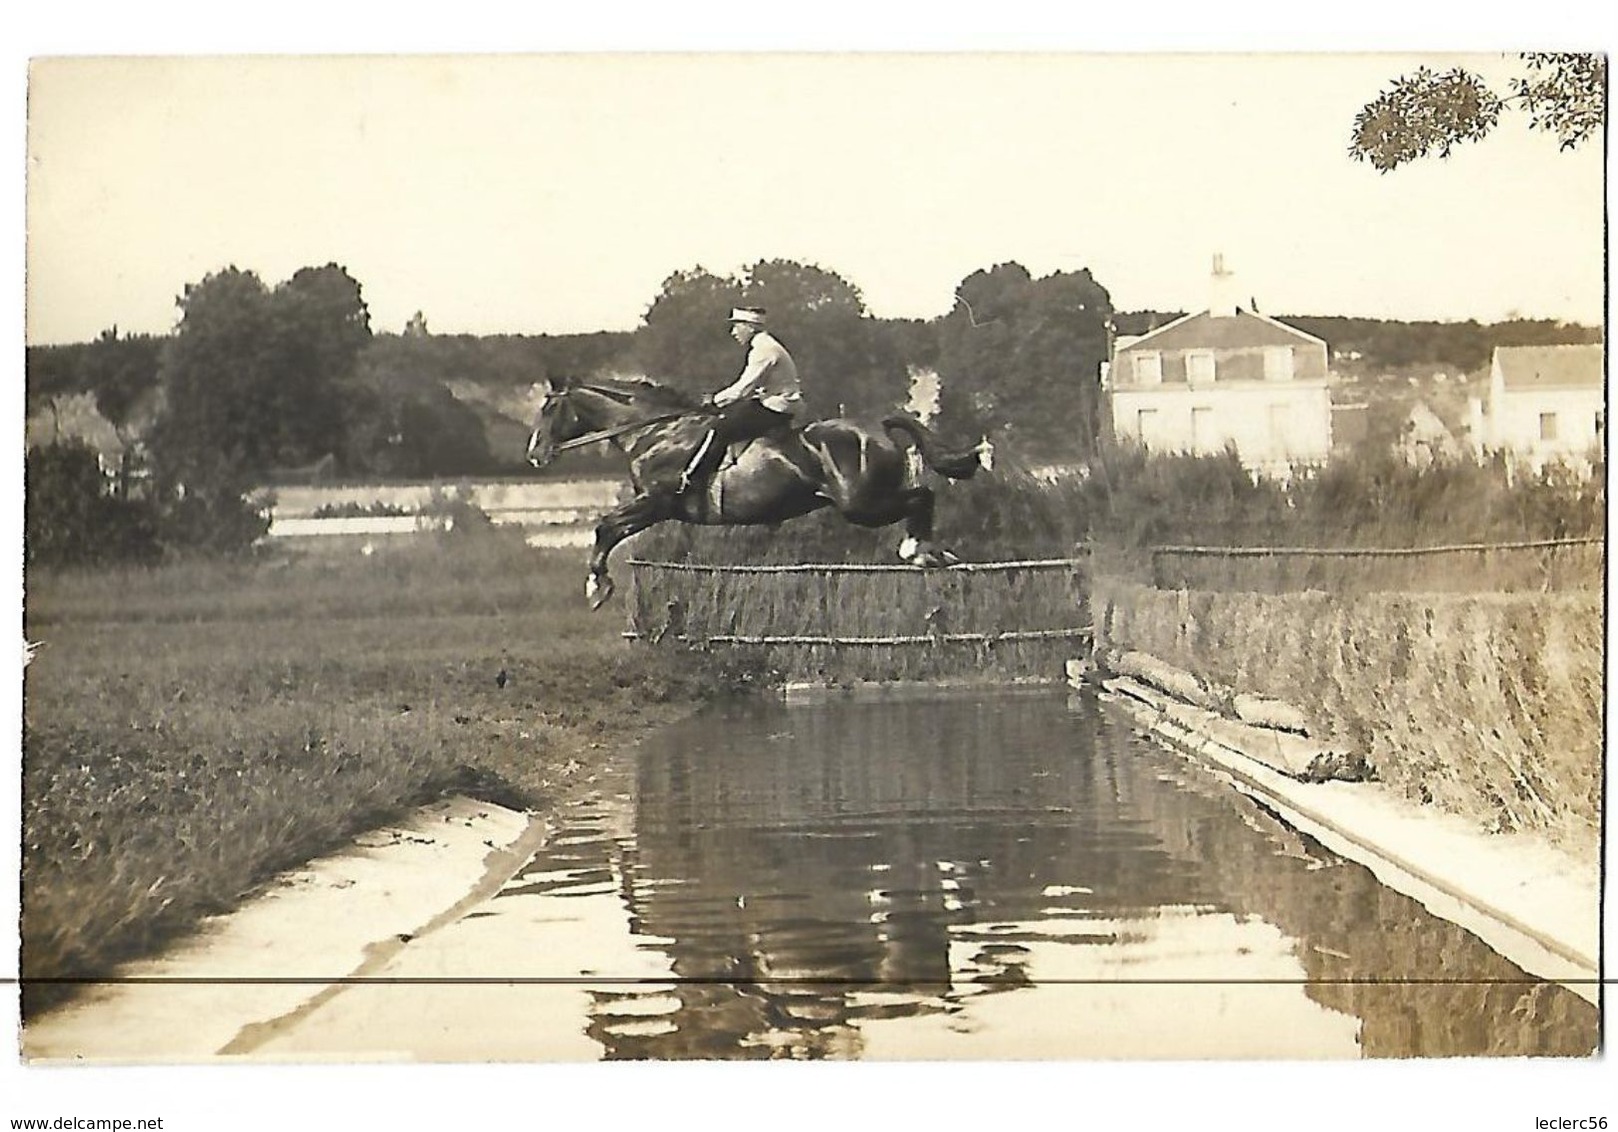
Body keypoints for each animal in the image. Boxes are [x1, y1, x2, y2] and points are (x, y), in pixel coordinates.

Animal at [530, 373, 983, 604]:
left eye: (549, 408)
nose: (534, 454)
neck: (656, 431)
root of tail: (876, 426)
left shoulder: (656, 502)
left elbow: (605, 528)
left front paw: (597, 586)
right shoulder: (656, 507)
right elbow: (608, 529)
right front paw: (598, 583)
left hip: (863, 505)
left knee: (922, 496)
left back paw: (919, 551)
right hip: (866, 503)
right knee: (923, 497)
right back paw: (930, 553)